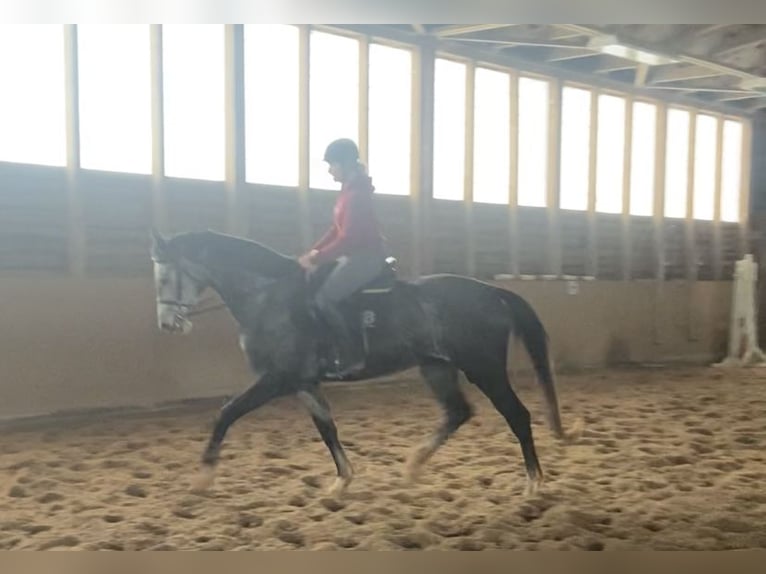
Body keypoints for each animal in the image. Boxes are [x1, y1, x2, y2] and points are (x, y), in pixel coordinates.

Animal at [148, 230, 584, 500]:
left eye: (165, 275)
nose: (167, 324)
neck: (270, 297)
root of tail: (492, 292)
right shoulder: (305, 383)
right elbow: (327, 429)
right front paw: (342, 482)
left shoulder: (277, 379)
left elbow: (226, 413)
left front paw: (203, 477)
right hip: (436, 367)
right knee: (458, 412)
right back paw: (414, 466)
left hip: (484, 368)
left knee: (517, 414)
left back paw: (533, 484)